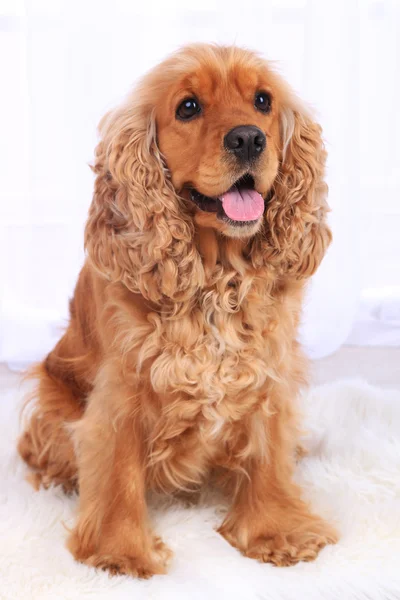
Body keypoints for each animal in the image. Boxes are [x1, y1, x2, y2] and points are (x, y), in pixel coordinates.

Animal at [17, 42, 336, 576]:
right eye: (188, 107)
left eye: (263, 101)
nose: (248, 138)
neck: (215, 278)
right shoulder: (122, 389)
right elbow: (117, 469)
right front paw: (119, 553)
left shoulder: (267, 373)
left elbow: (268, 453)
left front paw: (277, 530)